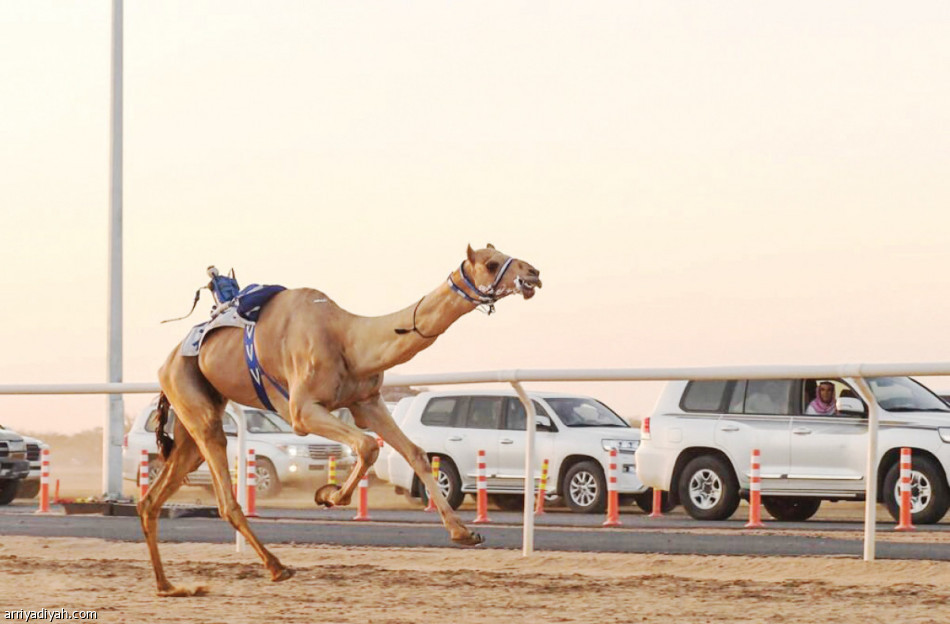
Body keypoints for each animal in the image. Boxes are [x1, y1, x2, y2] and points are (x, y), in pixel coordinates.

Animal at [139, 244, 544, 596]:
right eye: (491, 263)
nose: (533, 273)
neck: (348, 338)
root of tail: (166, 363)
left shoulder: (368, 402)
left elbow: (414, 453)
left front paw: (464, 533)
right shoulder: (302, 411)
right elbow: (365, 446)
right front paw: (328, 495)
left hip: (192, 422)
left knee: (152, 498)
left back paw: (167, 586)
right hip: (193, 399)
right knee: (224, 494)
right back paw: (276, 567)